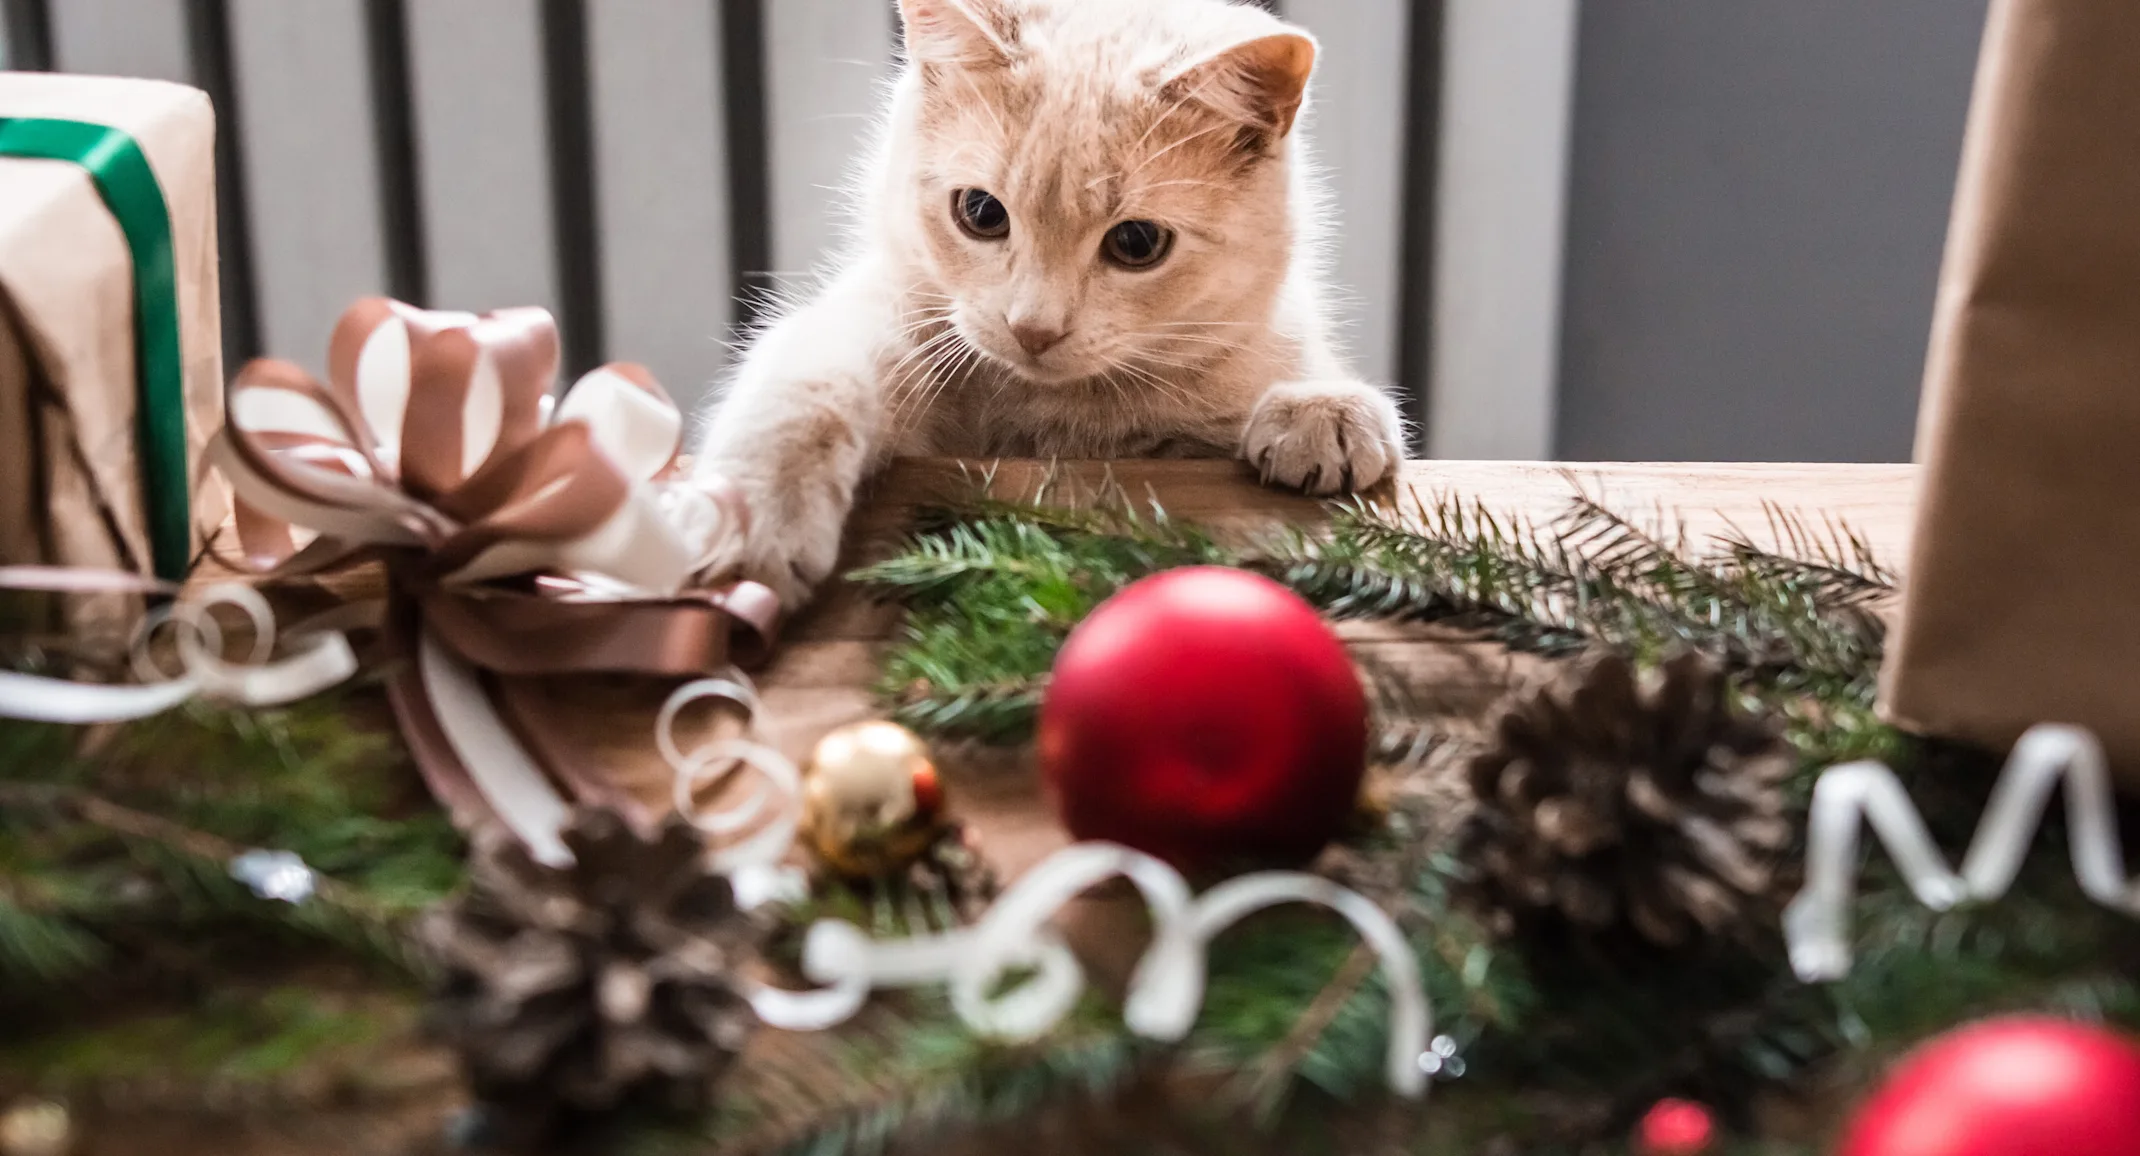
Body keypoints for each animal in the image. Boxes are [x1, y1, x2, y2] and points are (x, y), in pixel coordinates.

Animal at [693, 0, 1412, 607]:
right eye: (981, 213)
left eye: (1137, 242)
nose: (1033, 327)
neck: (1051, 415)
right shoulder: (881, 319)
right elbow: (808, 385)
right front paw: (758, 512)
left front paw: (1323, 408)